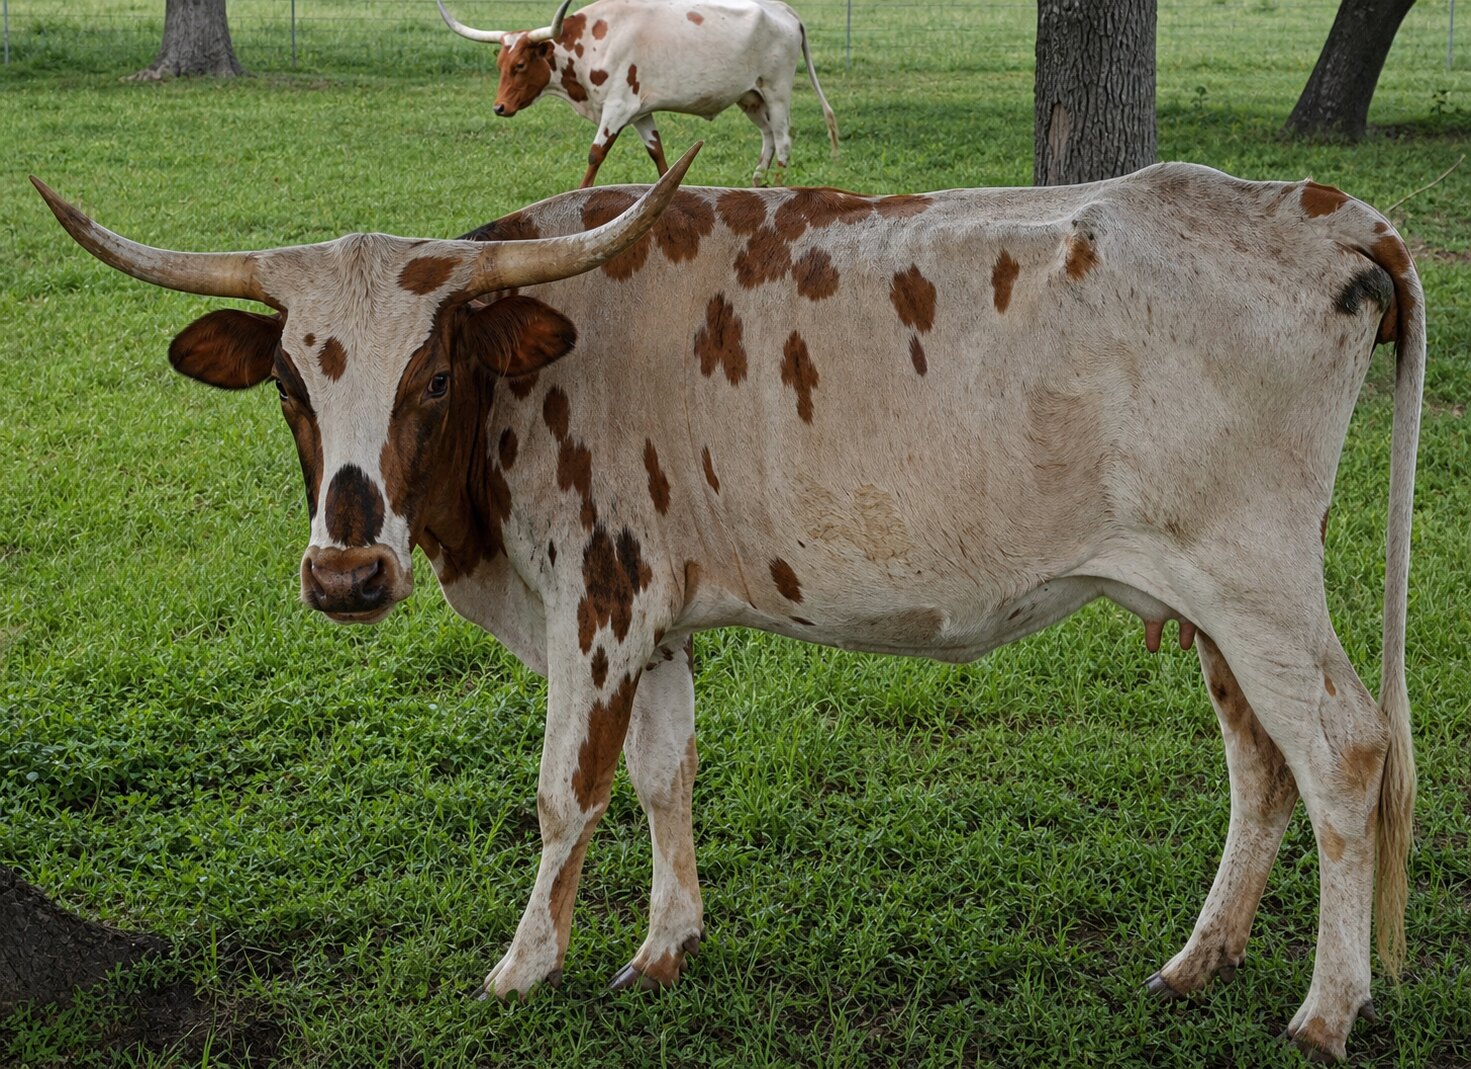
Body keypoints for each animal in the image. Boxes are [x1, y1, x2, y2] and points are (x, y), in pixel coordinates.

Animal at [33, 148, 1423, 1061]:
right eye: (287, 382)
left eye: (431, 375)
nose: (347, 573)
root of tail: (1324, 212)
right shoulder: (655, 615)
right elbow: (664, 771)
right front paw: (664, 943)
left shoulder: (593, 602)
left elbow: (566, 789)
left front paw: (523, 965)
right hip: (1205, 598)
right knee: (1259, 760)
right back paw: (1200, 959)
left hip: (1255, 576)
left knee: (1344, 749)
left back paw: (1325, 1009)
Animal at [437, 0, 839, 187]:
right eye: (500, 63)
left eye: (520, 64)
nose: (499, 107)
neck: (593, 42)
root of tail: (783, 10)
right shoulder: (640, 112)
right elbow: (659, 155)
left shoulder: (617, 107)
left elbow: (595, 154)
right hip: (750, 96)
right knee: (768, 137)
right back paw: (757, 183)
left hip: (777, 92)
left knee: (783, 141)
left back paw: (778, 187)